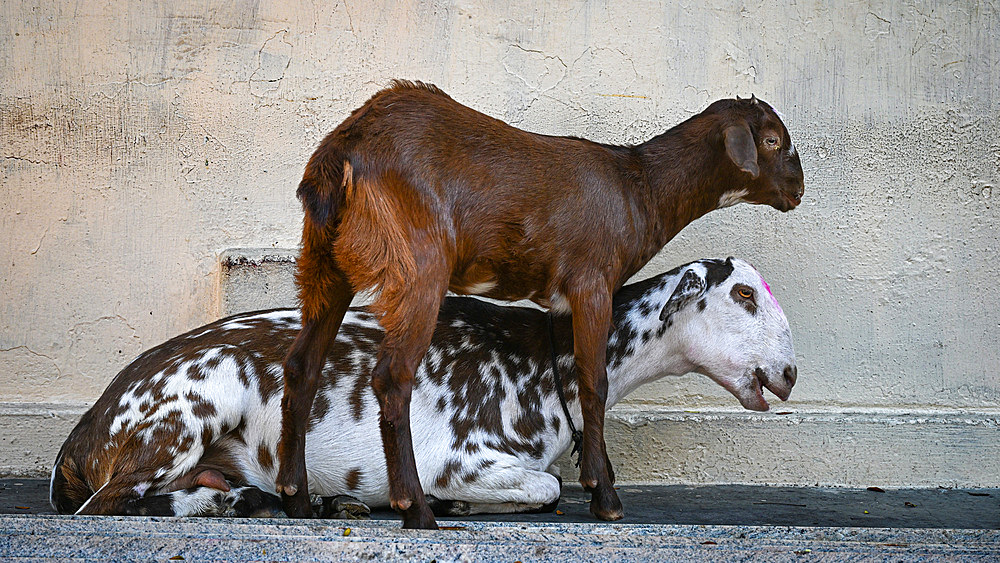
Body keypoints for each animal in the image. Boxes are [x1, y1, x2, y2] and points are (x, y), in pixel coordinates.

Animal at [278, 80, 808, 528]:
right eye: (772, 140)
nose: (799, 191)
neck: (640, 189)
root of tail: (342, 152)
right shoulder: (592, 280)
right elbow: (595, 382)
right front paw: (605, 499)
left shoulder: (565, 303)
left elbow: (579, 371)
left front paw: (598, 479)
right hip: (417, 262)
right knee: (392, 376)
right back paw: (417, 510)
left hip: (325, 261)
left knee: (303, 364)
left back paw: (296, 498)